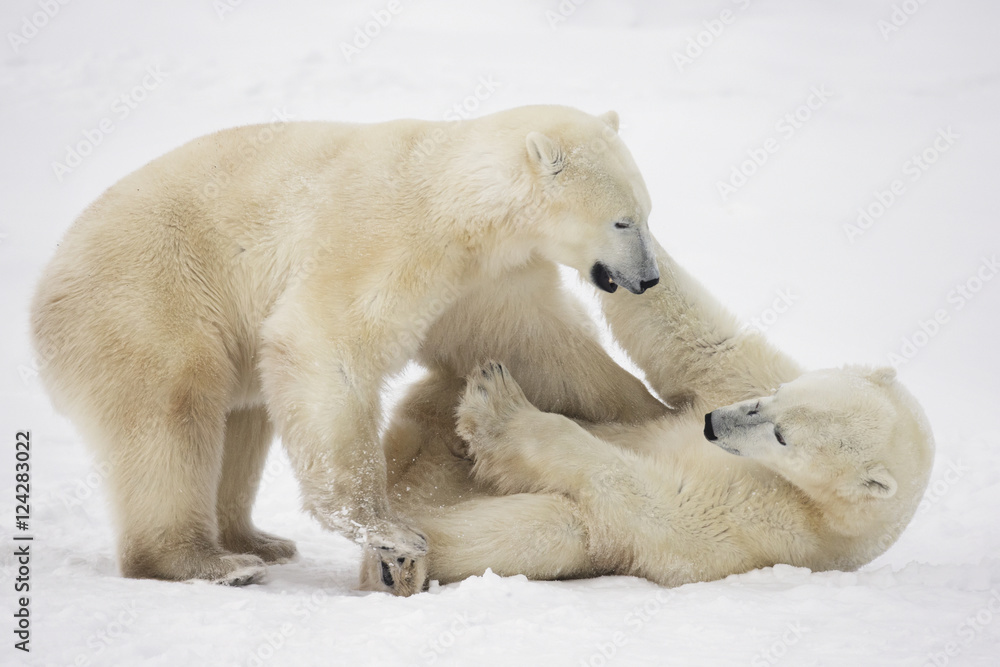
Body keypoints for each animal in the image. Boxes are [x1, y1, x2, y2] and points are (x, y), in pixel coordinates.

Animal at [30, 105, 668, 585]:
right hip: (150, 300)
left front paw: (653, 410)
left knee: (243, 418)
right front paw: (390, 530)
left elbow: (542, 349)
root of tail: (44, 293)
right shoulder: (388, 239)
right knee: (172, 414)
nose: (649, 278)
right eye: (622, 221)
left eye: (647, 213)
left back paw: (258, 539)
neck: (457, 199)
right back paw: (208, 561)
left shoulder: (485, 279)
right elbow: (325, 343)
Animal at [364, 238, 935, 595]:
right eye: (773, 397)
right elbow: (696, 341)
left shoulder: (776, 527)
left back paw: (399, 561)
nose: (711, 424)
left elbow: (646, 499)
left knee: (549, 526)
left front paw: (500, 404)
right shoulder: (745, 376)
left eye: (781, 437)